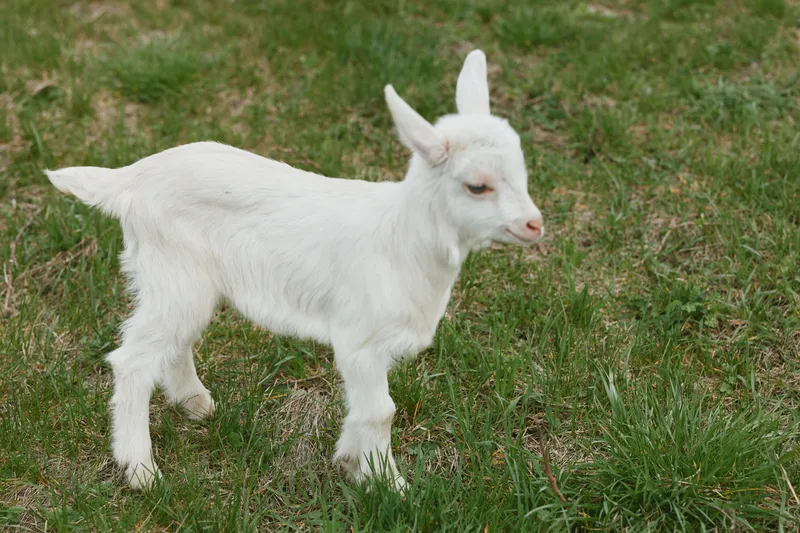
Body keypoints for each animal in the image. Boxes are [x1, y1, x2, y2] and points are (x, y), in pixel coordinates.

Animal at [44, 49, 544, 491]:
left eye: (522, 171)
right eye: (477, 186)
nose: (534, 225)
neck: (403, 239)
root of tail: (127, 180)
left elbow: (366, 411)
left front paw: (351, 462)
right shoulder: (359, 340)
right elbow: (380, 411)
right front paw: (388, 483)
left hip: (181, 280)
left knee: (174, 339)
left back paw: (195, 404)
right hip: (173, 271)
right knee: (132, 360)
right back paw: (142, 472)